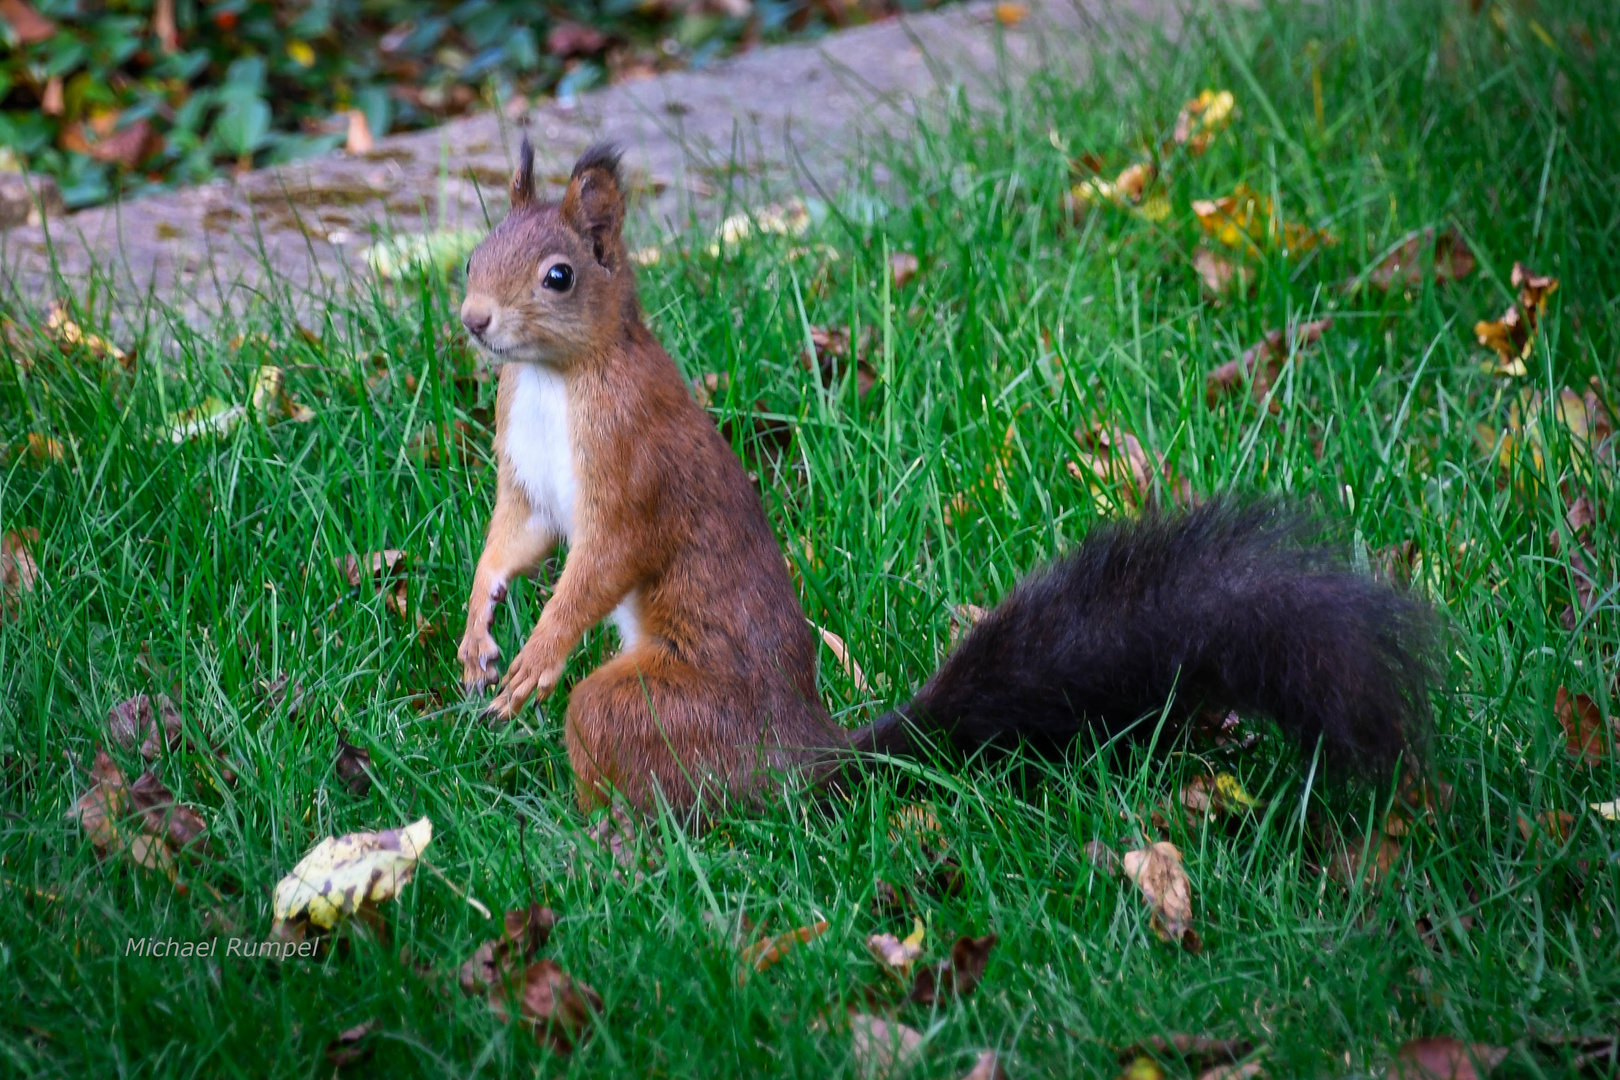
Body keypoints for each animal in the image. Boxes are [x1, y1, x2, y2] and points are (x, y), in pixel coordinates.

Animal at [456, 141, 1445, 819]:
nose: (472, 321)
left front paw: (538, 655)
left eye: (558, 275)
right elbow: (518, 539)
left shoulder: (632, 465)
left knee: (628, 744)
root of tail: (810, 758)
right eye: (471, 254)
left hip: (670, 708)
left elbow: (604, 560)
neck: (554, 381)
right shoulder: (530, 479)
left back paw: (608, 843)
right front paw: (479, 630)